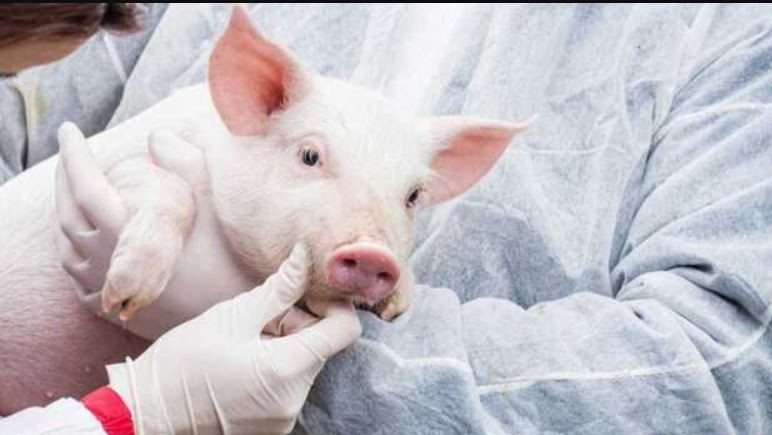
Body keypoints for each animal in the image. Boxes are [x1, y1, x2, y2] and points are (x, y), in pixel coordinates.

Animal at [0, 6, 530, 414]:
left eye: (414, 195)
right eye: (310, 155)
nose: (373, 253)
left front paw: (397, 304)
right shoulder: (100, 171)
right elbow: (172, 188)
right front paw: (125, 296)